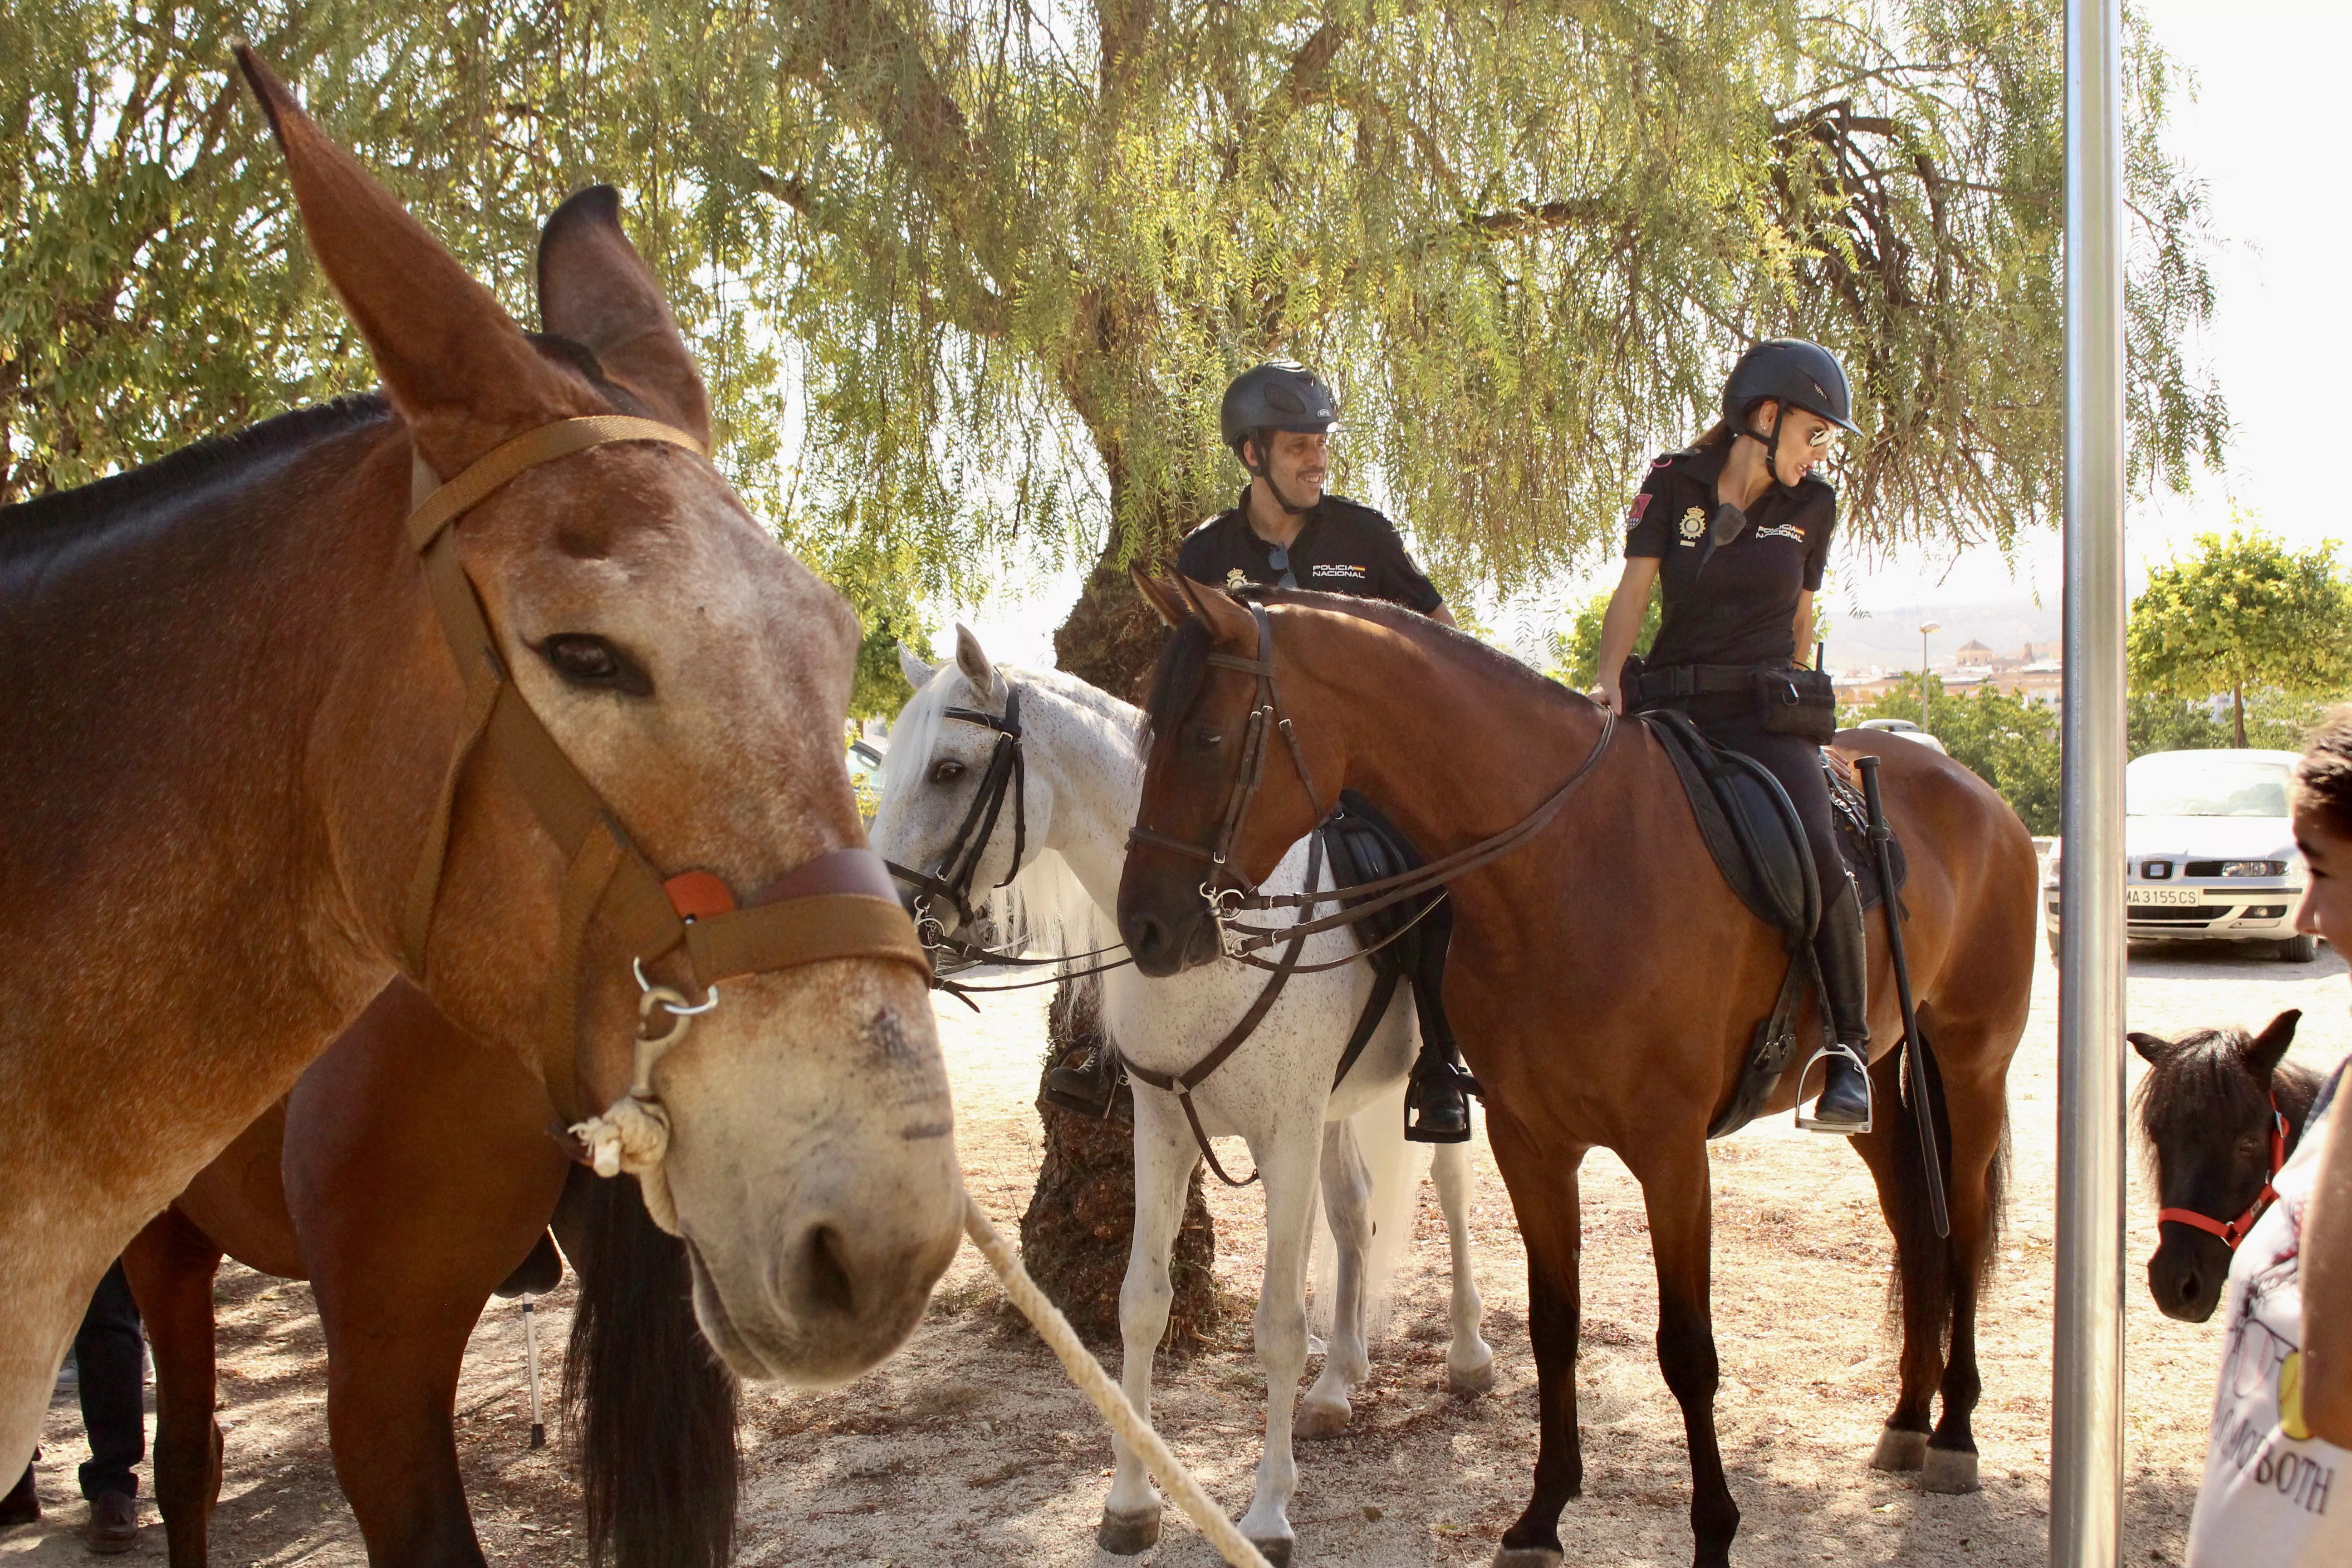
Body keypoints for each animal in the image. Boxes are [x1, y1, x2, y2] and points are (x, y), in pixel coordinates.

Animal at [875, 630, 1496, 1561]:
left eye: (949, 769)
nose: (877, 911)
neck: (1217, 928)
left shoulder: (1284, 1136)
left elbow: (1277, 1327)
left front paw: (1267, 1514)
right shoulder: (1164, 1128)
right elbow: (1141, 1305)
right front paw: (1132, 1502)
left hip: (1417, 1101)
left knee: (1451, 1197)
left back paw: (1467, 1356)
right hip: (1333, 1113)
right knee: (1353, 1212)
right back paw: (1337, 1384)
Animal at [1110, 580, 2032, 1568]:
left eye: (1206, 738)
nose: (1145, 927)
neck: (1565, 867)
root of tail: (1981, 797)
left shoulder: (1671, 1156)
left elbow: (1687, 1349)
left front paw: (1713, 1531)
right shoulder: (1530, 1142)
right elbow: (1554, 1326)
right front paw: (1541, 1514)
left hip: (1971, 1069)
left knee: (1959, 1230)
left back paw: (1955, 1432)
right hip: (1889, 1085)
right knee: (1916, 1229)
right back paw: (1906, 1418)